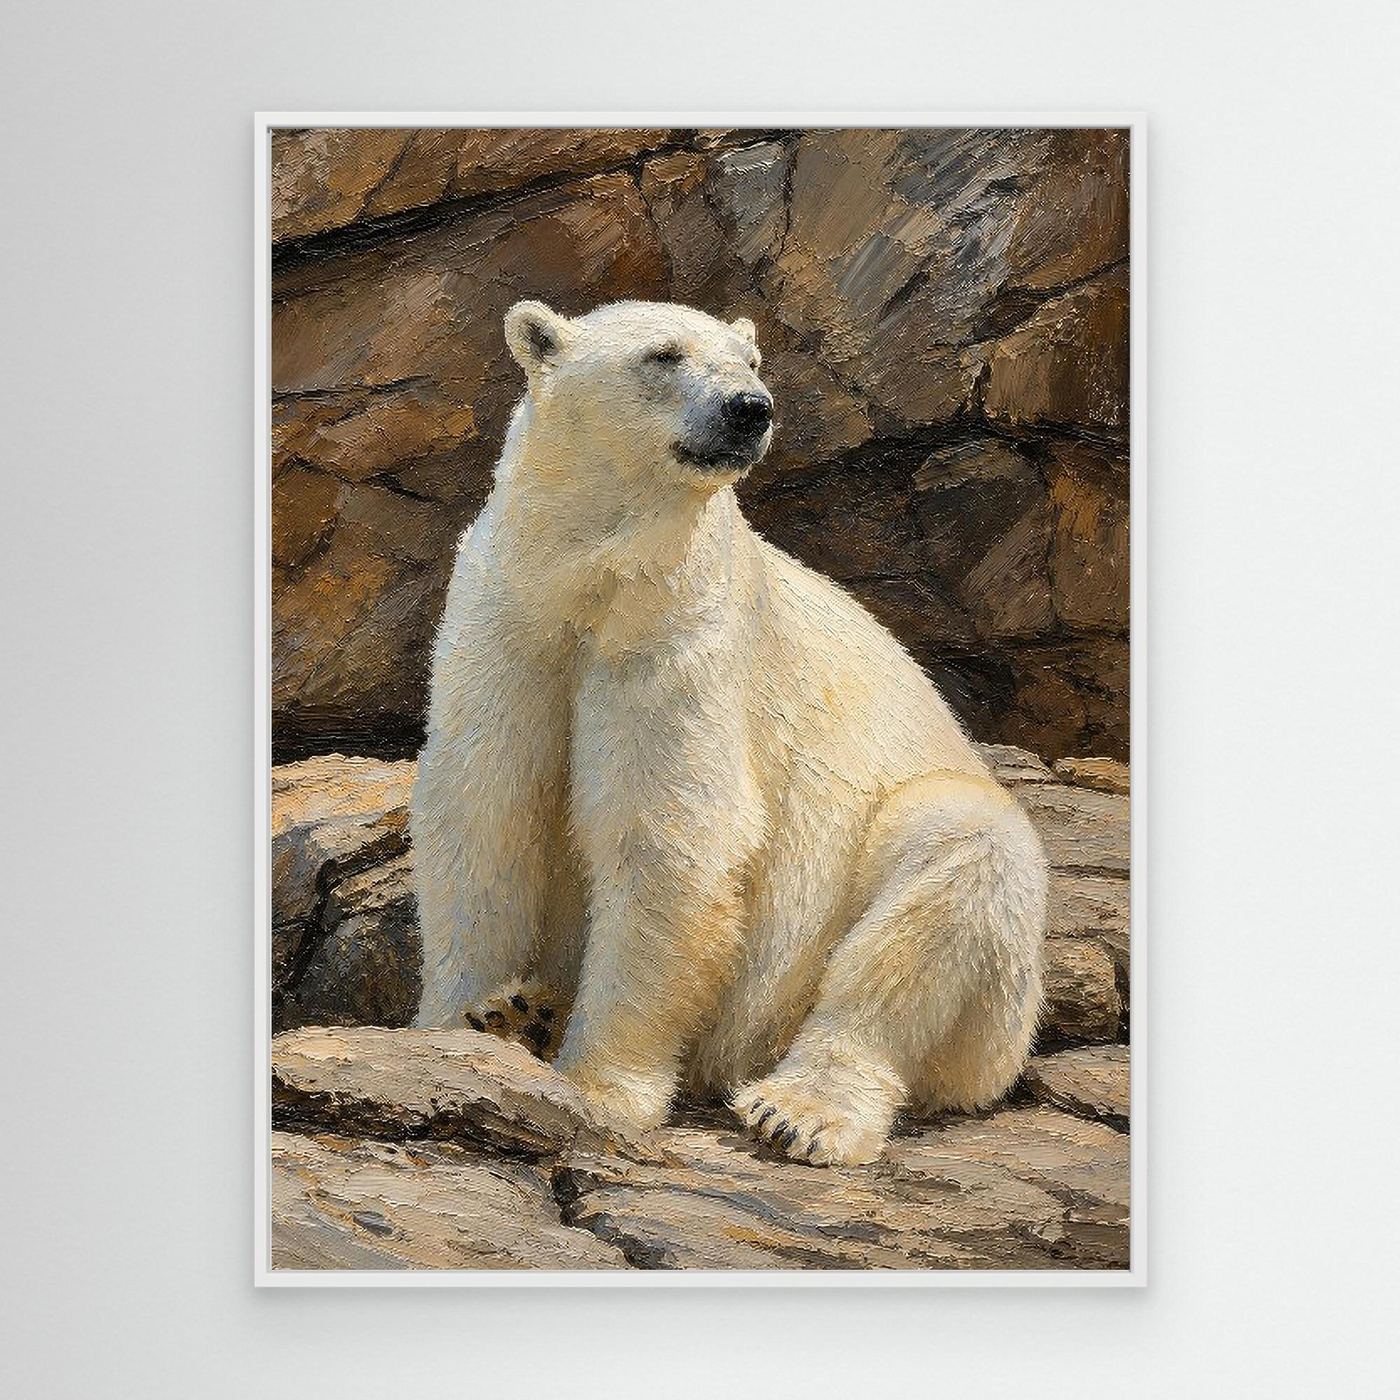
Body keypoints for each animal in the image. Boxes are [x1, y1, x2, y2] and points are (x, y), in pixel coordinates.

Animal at [410, 298, 1047, 1167]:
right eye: (664, 354)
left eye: (750, 361)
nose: (750, 409)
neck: (590, 580)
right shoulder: (507, 619)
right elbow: (484, 805)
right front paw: (457, 1022)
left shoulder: (678, 636)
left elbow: (667, 834)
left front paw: (597, 1088)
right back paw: (528, 1010)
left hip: (922, 986)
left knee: (957, 860)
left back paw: (802, 1110)